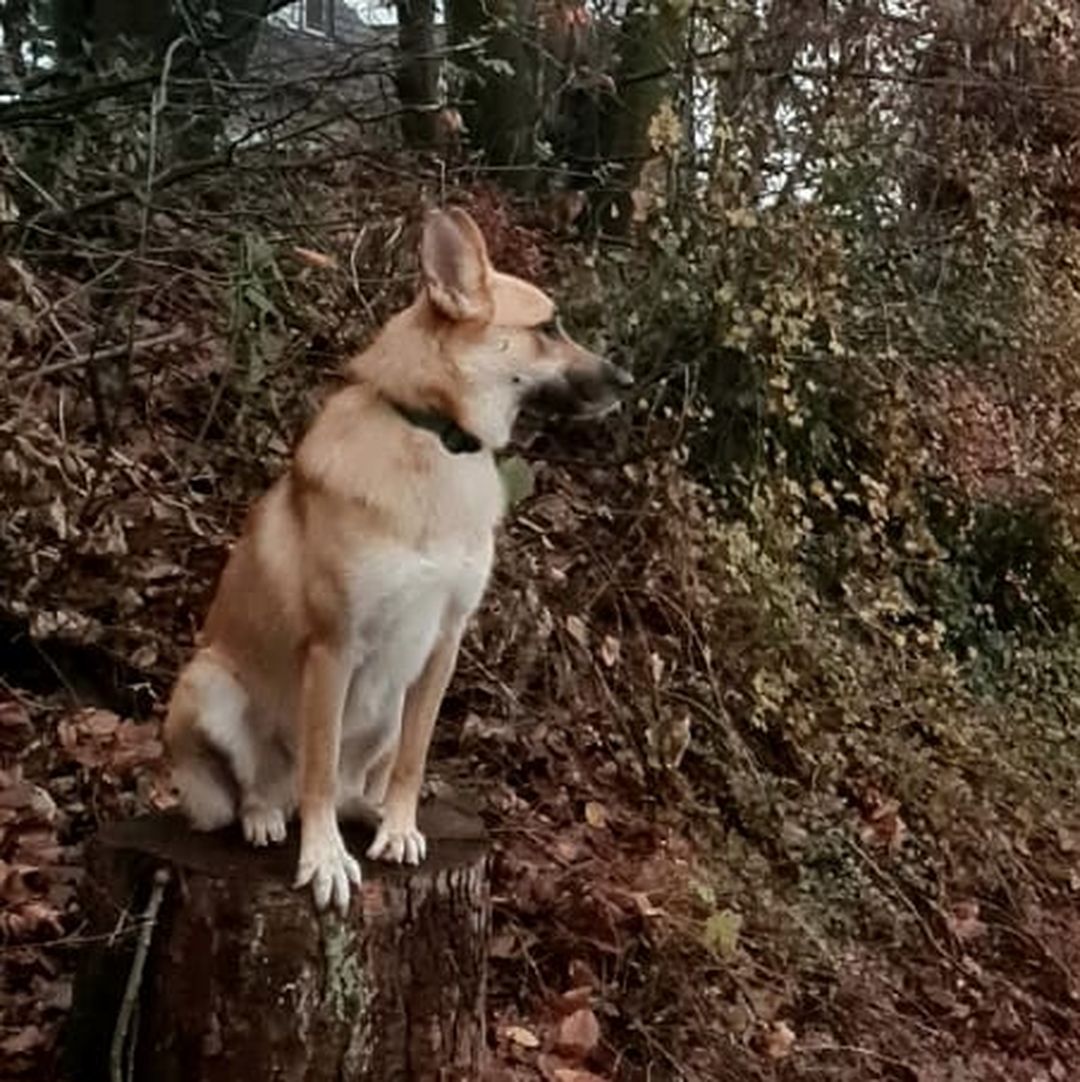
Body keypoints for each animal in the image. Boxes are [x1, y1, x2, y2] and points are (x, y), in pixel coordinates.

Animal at [161, 206, 631, 908]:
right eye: (549, 327)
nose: (626, 382)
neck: (435, 437)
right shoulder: (333, 647)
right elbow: (319, 767)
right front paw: (324, 859)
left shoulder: (442, 645)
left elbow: (412, 758)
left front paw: (400, 828)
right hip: (208, 683)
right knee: (265, 787)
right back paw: (267, 816)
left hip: (384, 707)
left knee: (353, 783)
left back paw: (366, 811)